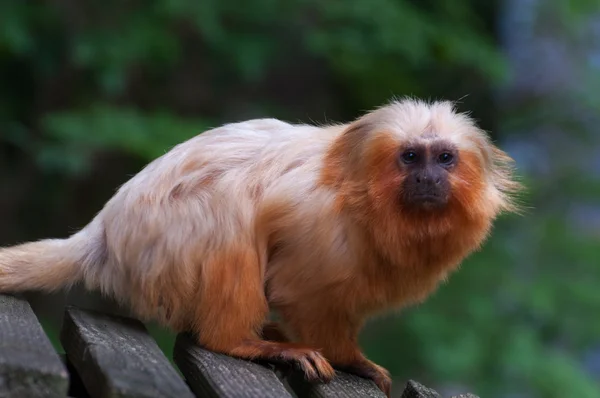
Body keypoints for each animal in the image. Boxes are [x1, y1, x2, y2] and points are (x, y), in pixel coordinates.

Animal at [0, 98, 520, 396]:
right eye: (411, 156)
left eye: (445, 158)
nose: (428, 179)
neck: (365, 199)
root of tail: (106, 231)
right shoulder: (319, 227)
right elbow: (304, 293)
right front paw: (348, 357)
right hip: (166, 240)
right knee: (228, 223)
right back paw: (246, 342)